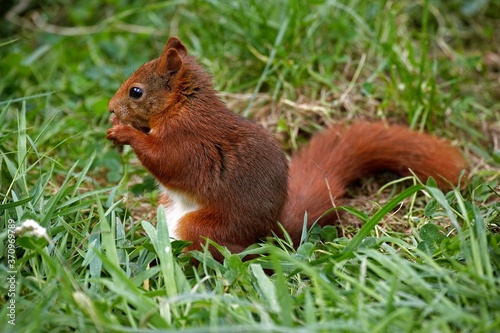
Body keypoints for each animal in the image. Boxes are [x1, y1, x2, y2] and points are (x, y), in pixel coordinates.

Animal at [107, 37, 466, 260]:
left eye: (136, 91)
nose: (110, 108)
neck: (182, 107)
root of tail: (269, 235)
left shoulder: (189, 140)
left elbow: (166, 160)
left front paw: (124, 133)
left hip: (205, 229)